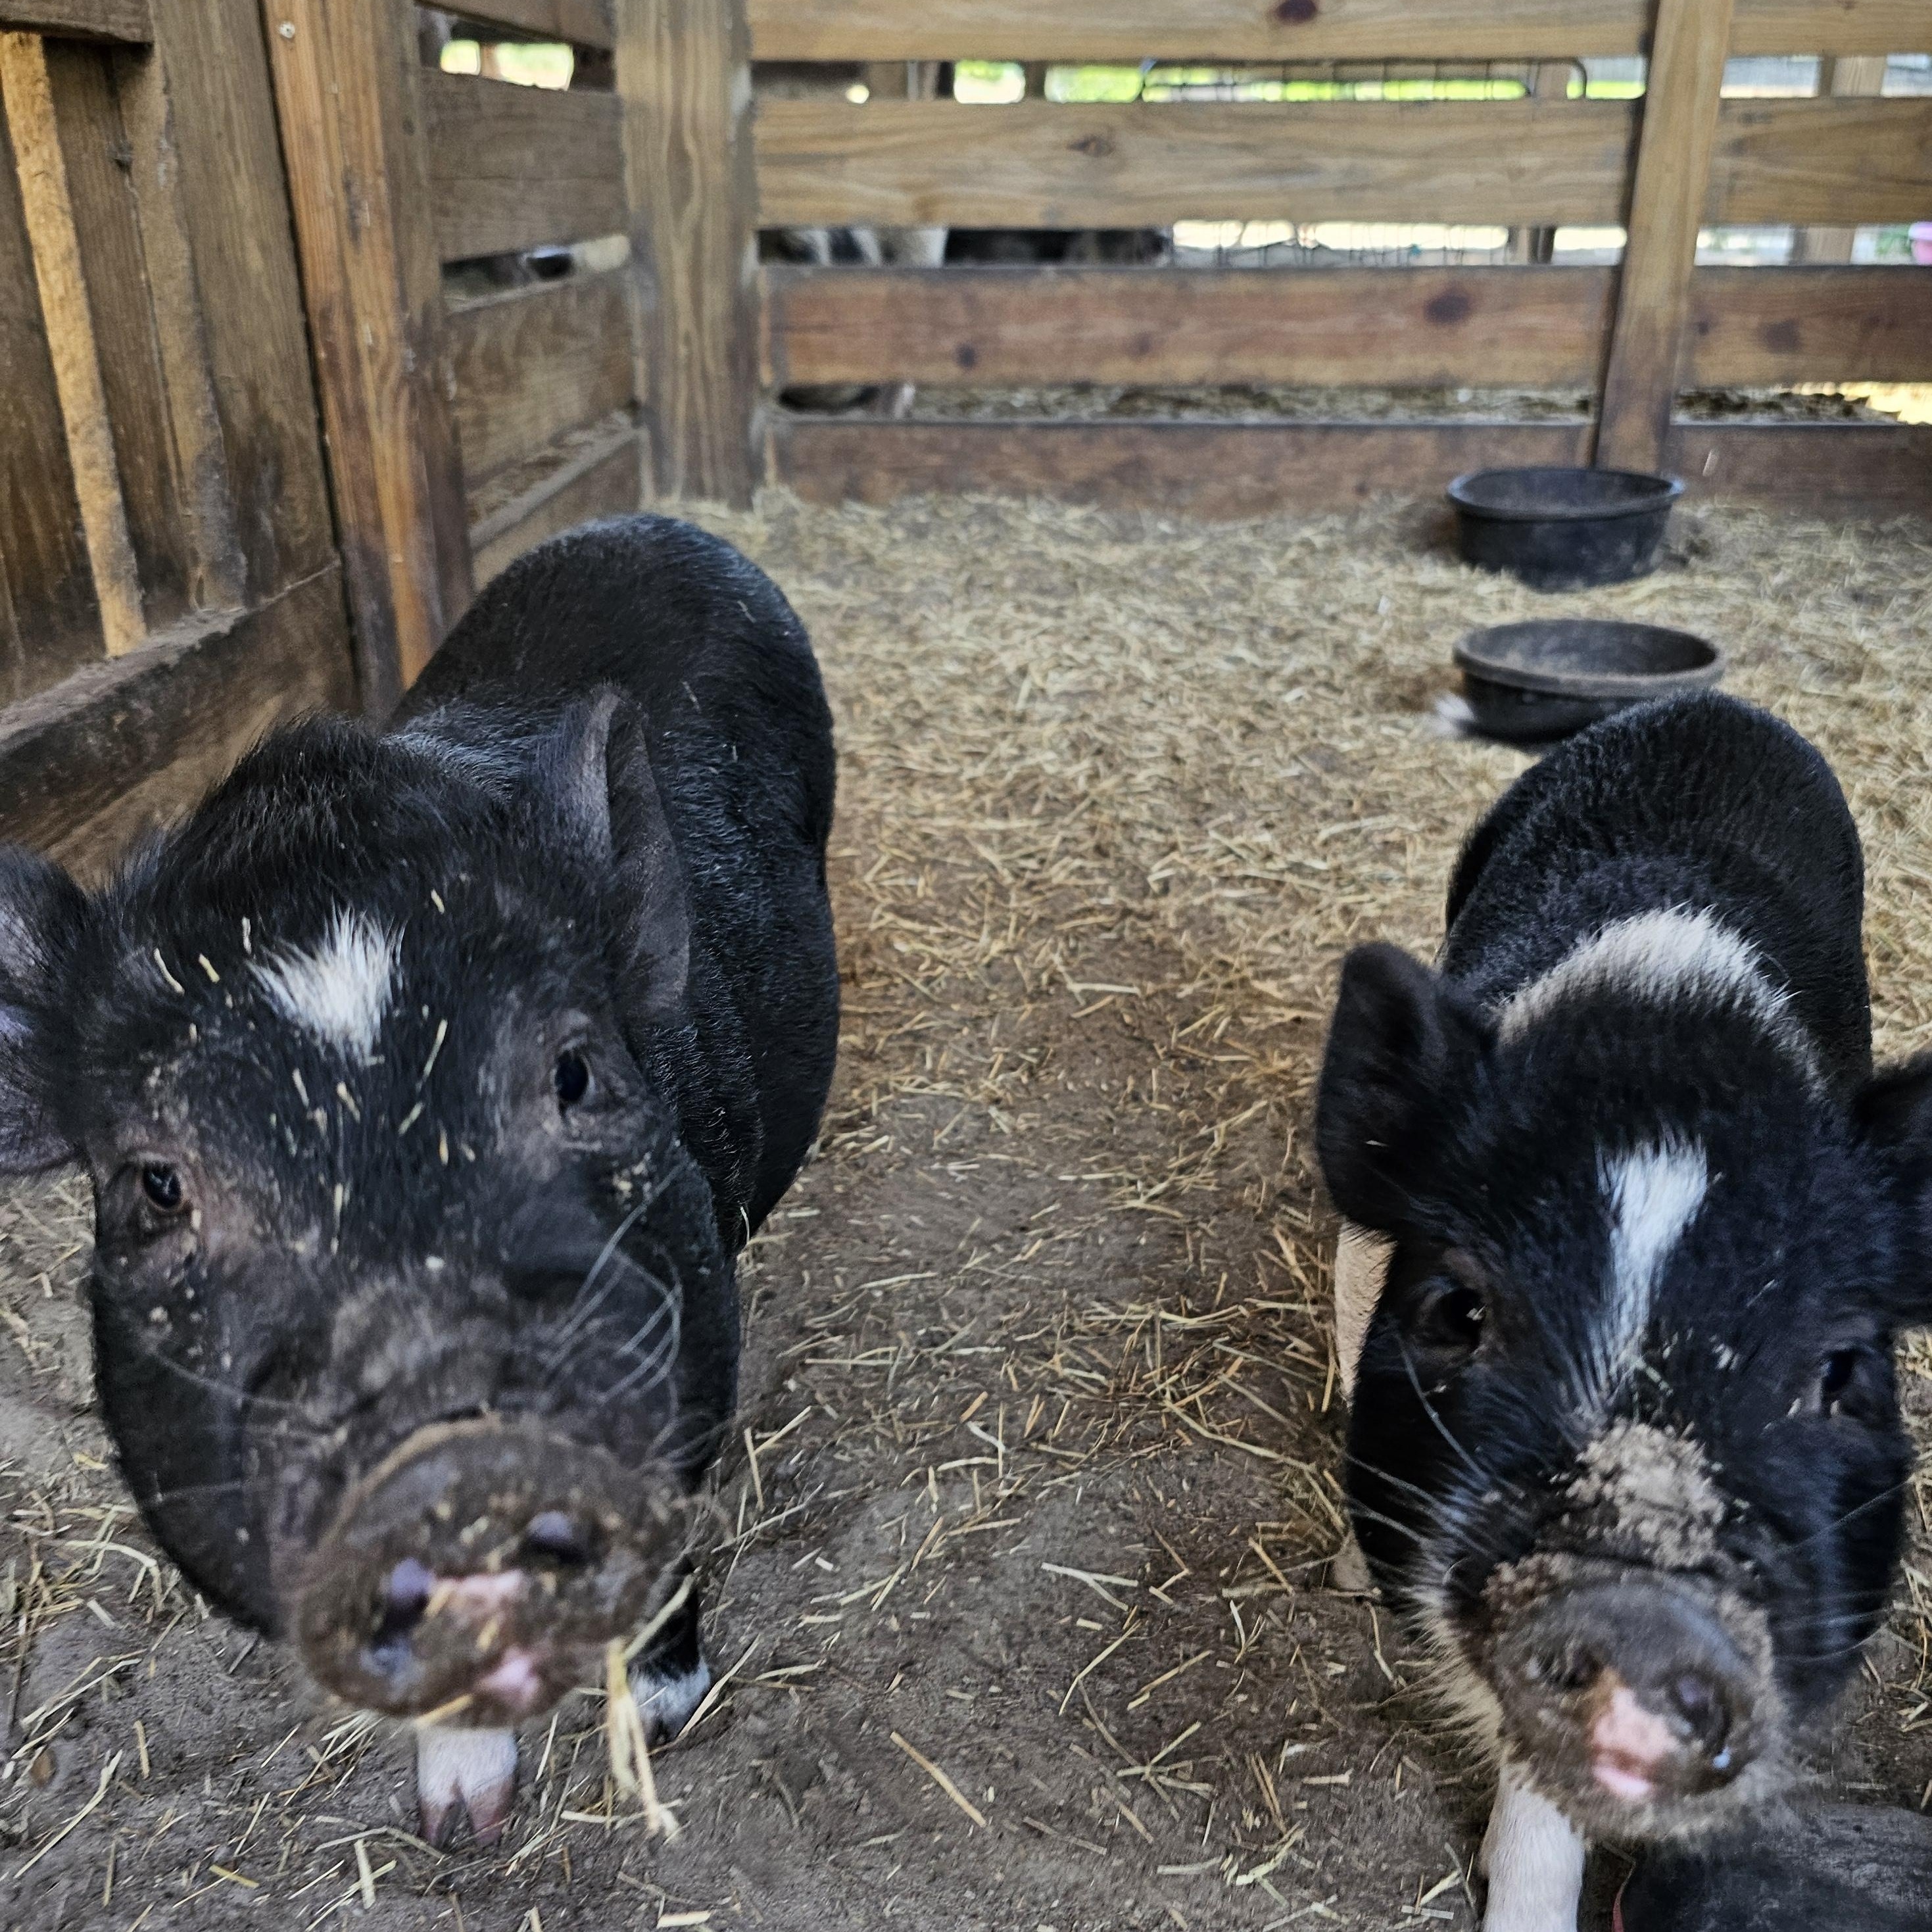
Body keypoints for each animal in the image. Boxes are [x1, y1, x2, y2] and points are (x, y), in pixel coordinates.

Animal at [0, 515, 839, 1843]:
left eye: (575, 1072)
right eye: (157, 1184)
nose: (445, 1435)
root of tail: (649, 523)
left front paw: (663, 1723)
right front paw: (460, 1830)